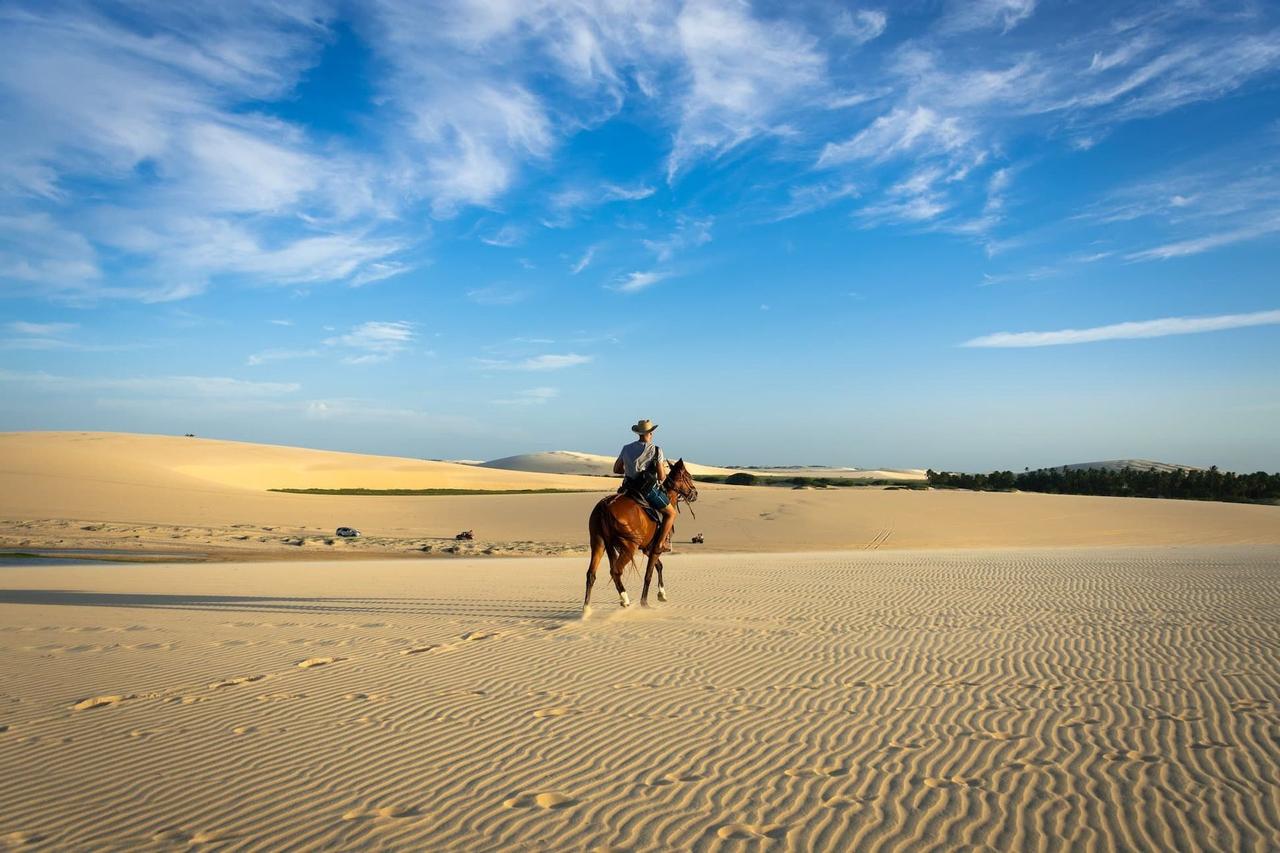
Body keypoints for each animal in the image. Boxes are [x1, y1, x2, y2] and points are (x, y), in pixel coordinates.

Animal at [583, 458, 699, 614]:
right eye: (689, 476)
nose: (695, 493)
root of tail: (605, 505)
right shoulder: (655, 549)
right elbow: (648, 574)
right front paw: (644, 602)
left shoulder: (648, 549)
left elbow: (659, 566)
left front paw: (662, 594)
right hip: (629, 547)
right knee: (615, 571)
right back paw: (625, 599)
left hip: (598, 542)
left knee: (591, 574)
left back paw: (586, 608)